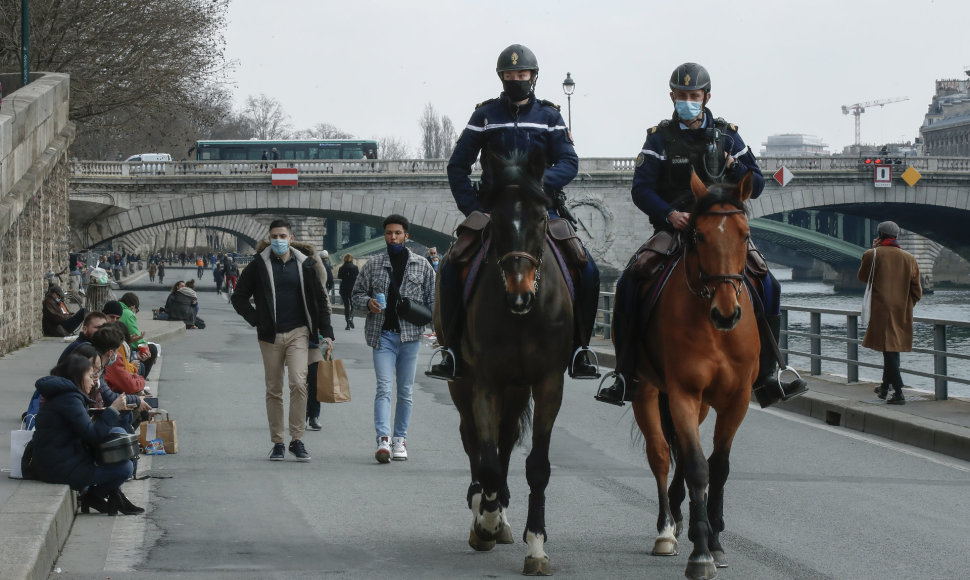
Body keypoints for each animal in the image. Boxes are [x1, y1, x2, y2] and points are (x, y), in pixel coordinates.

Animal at [444, 150, 576, 576]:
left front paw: (535, 544)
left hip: (518, 389)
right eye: (496, 221)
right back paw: (484, 506)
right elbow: (485, 459)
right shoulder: (484, 381)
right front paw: (485, 521)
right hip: (463, 382)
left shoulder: (549, 382)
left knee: (505, 437)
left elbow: (537, 465)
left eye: (541, 217)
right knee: (473, 438)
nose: (519, 294)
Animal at [632, 172, 760, 580]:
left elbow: (718, 467)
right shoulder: (682, 393)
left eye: (745, 234)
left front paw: (715, 542)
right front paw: (701, 552)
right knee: (660, 454)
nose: (726, 313)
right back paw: (665, 530)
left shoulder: (736, 400)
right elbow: (696, 467)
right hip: (646, 390)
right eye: (699, 236)